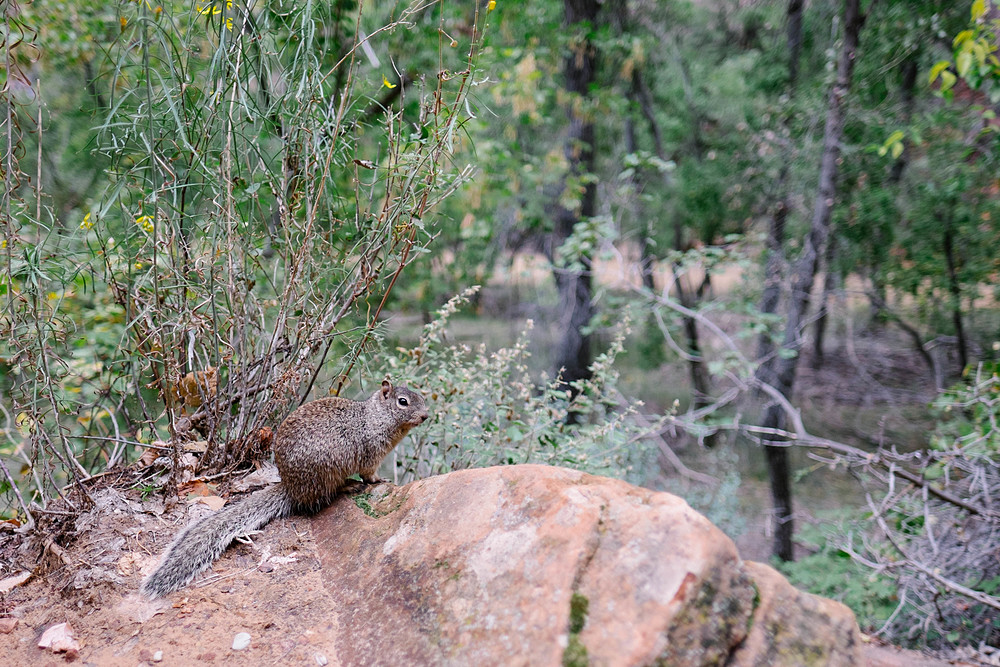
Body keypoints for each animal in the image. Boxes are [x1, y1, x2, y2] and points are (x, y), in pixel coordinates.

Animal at [139, 380, 428, 600]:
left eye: (421, 397)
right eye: (403, 401)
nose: (427, 415)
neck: (374, 417)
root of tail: (290, 487)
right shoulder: (371, 454)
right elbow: (369, 474)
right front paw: (379, 481)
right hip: (325, 475)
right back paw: (347, 486)